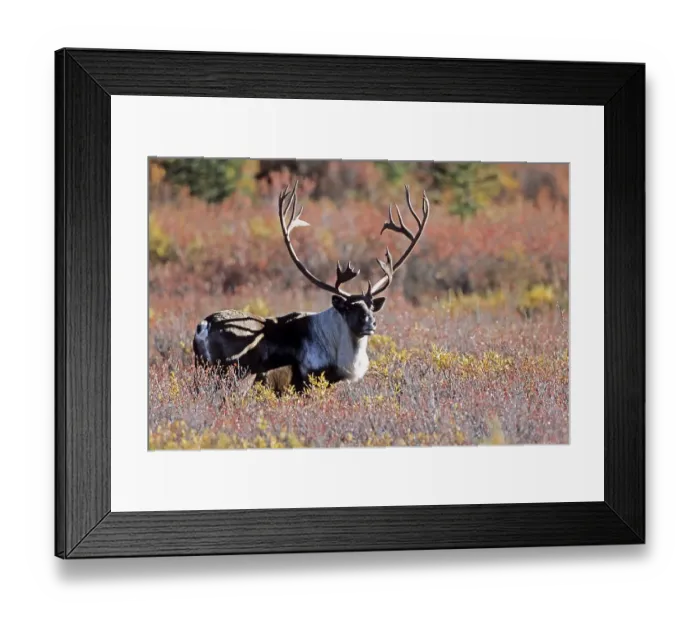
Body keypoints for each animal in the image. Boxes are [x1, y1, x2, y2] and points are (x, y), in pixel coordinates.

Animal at [192, 181, 430, 394]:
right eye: (349, 307)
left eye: (371, 306)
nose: (370, 323)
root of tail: (204, 325)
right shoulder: (306, 379)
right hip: (233, 374)